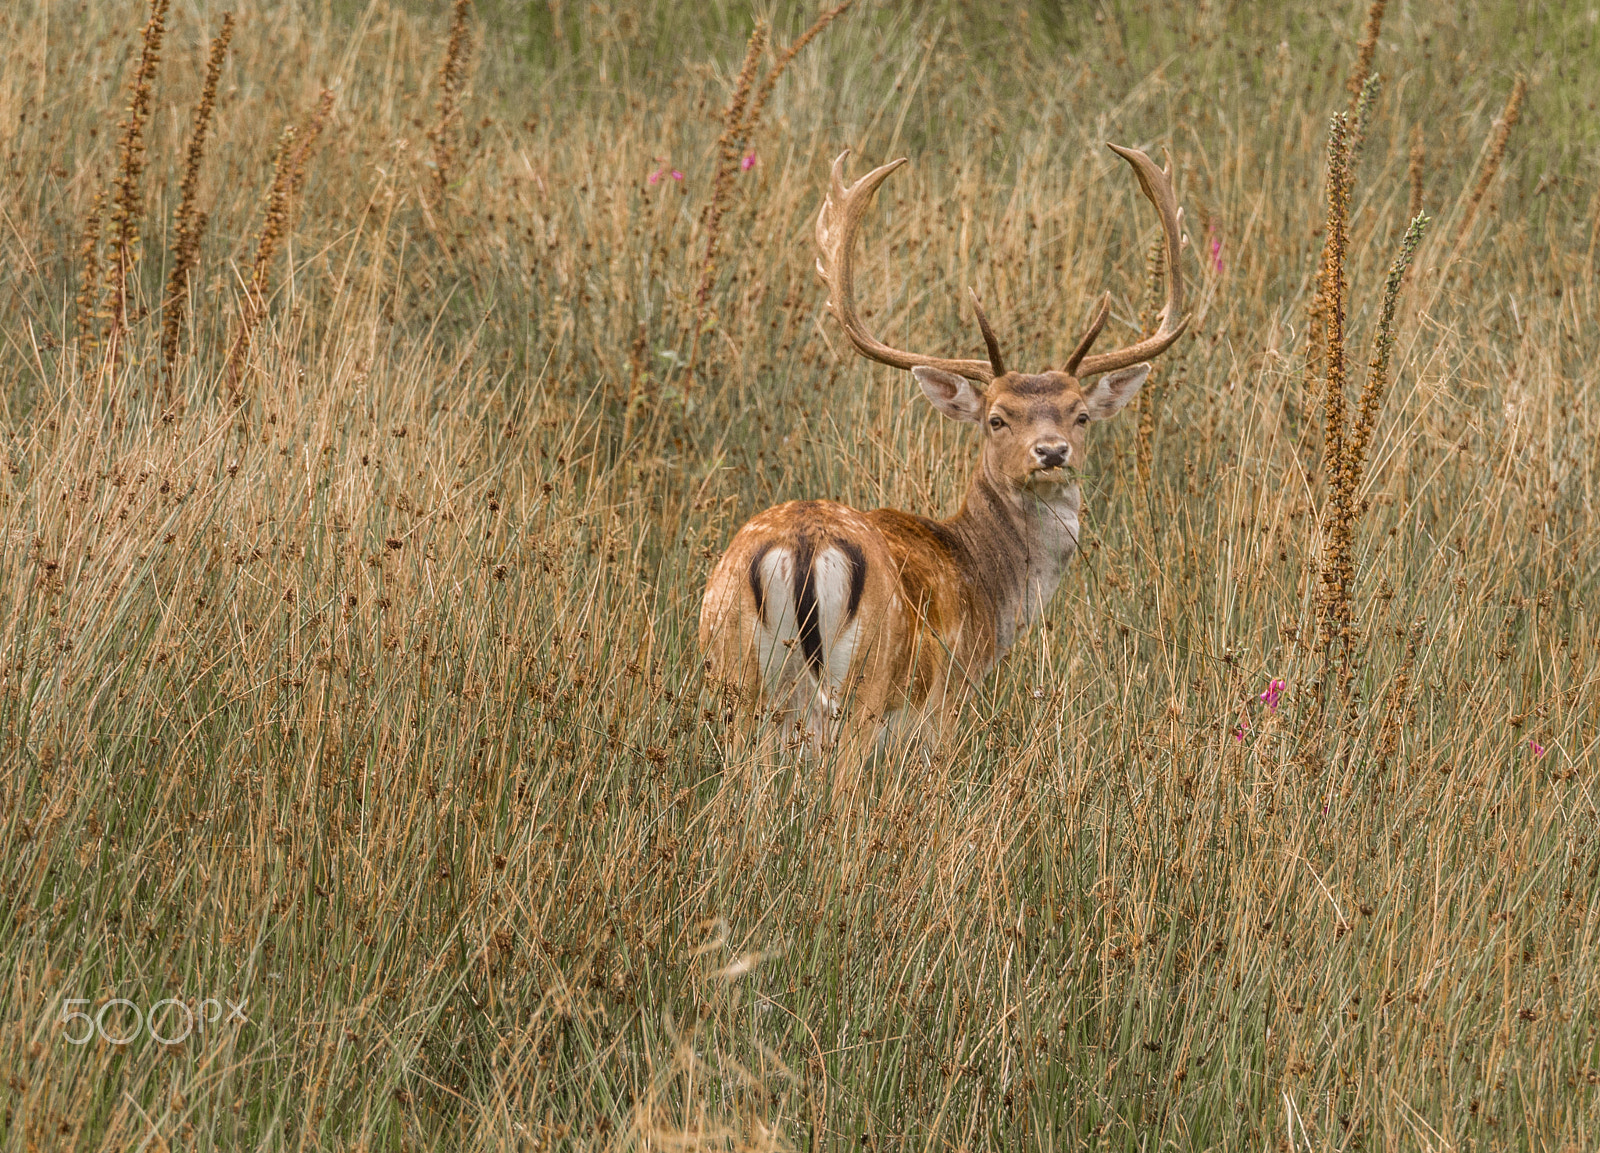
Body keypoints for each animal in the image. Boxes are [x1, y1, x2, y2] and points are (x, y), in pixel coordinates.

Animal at [700, 141, 1190, 745]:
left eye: (1081, 416)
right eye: (996, 419)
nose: (1052, 452)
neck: (988, 594)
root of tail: (804, 546)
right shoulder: (944, 706)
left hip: (734, 676)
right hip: (865, 689)